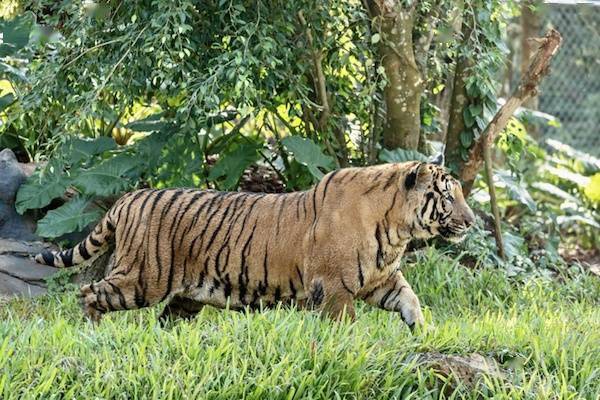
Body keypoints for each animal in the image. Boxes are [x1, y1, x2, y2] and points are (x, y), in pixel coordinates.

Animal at [35, 159, 476, 328]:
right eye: (448, 196)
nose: (471, 221)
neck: (398, 229)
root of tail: (127, 198)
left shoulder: (382, 278)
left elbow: (411, 300)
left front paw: (422, 331)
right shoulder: (334, 287)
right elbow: (346, 323)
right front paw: (356, 345)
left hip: (184, 297)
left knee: (166, 320)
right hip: (142, 278)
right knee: (89, 291)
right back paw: (92, 330)